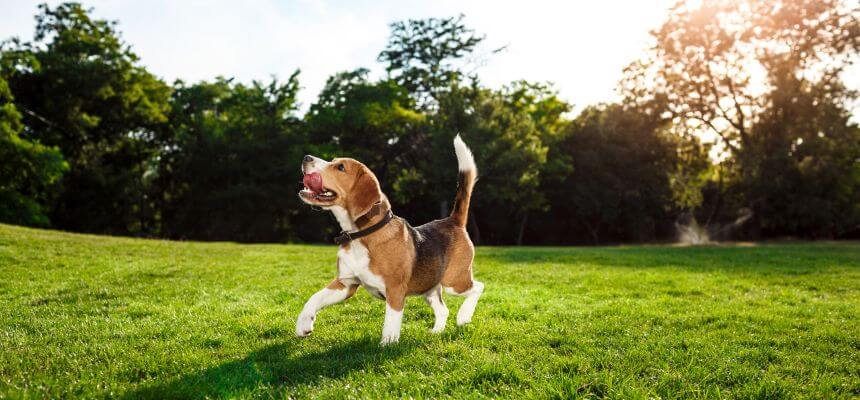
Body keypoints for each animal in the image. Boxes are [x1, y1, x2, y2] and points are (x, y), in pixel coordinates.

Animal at [296, 134, 484, 344]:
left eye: (341, 167)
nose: (306, 157)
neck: (361, 235)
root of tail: (453, 220)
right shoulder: (346, 283)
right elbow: (314, 298)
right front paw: (303, 324)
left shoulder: (395, 290)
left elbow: (391, 322)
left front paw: (387, 345)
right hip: (429, 287)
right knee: (443, 310)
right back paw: (436, 332)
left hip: (454, 281)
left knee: (478, 287)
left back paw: (464, 316)